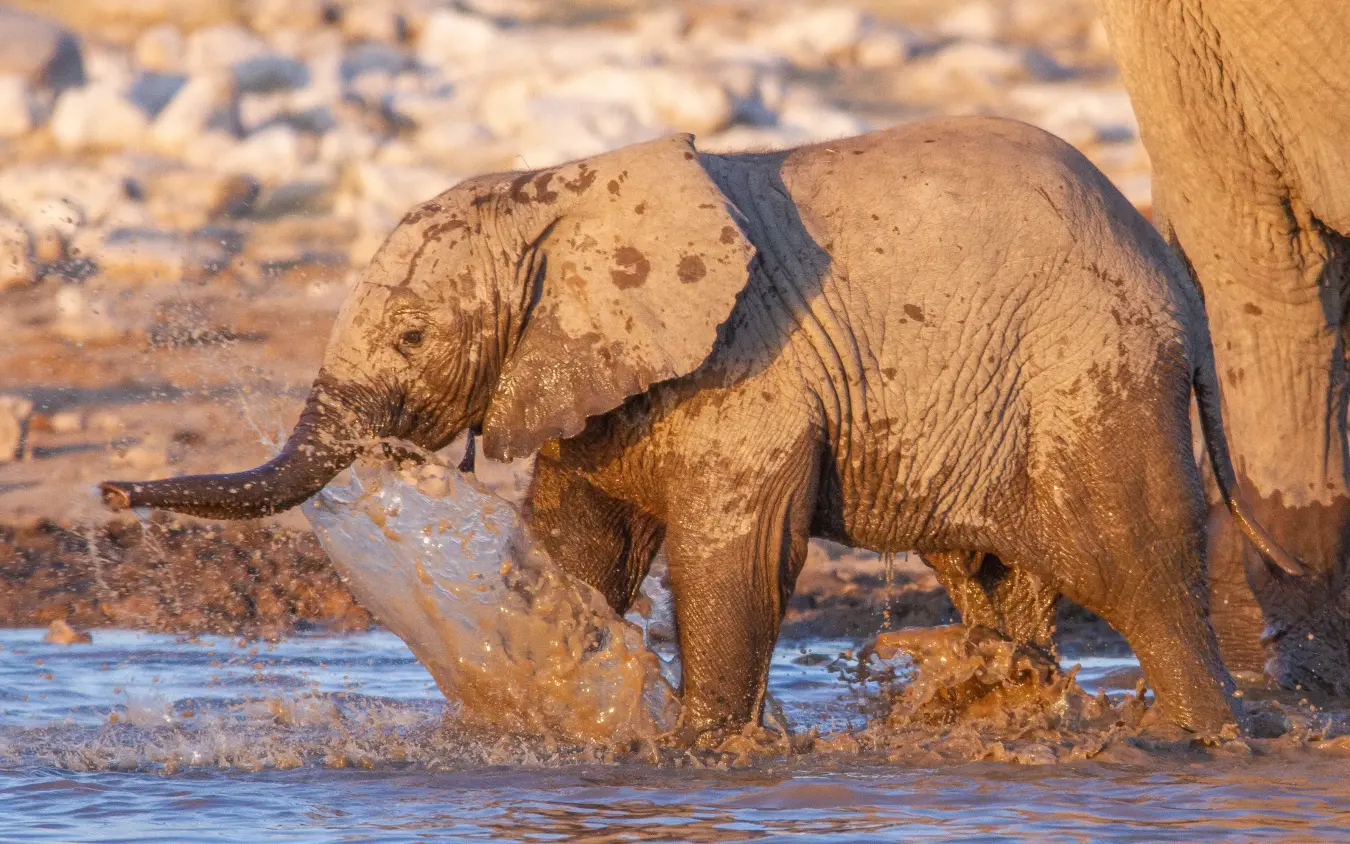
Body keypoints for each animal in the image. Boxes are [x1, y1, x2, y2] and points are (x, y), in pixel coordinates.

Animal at [100, 117, 1298, 740]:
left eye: (409, 333)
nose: (111, 494)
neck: (558, 187)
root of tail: (1180, 286)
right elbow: (576, 549)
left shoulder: (753, 367)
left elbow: (739, 555)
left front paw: (701, 754)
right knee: (994, 572)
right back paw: (1013, 710)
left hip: (1092, 374)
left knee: (1137, 567)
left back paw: (1196, 741)